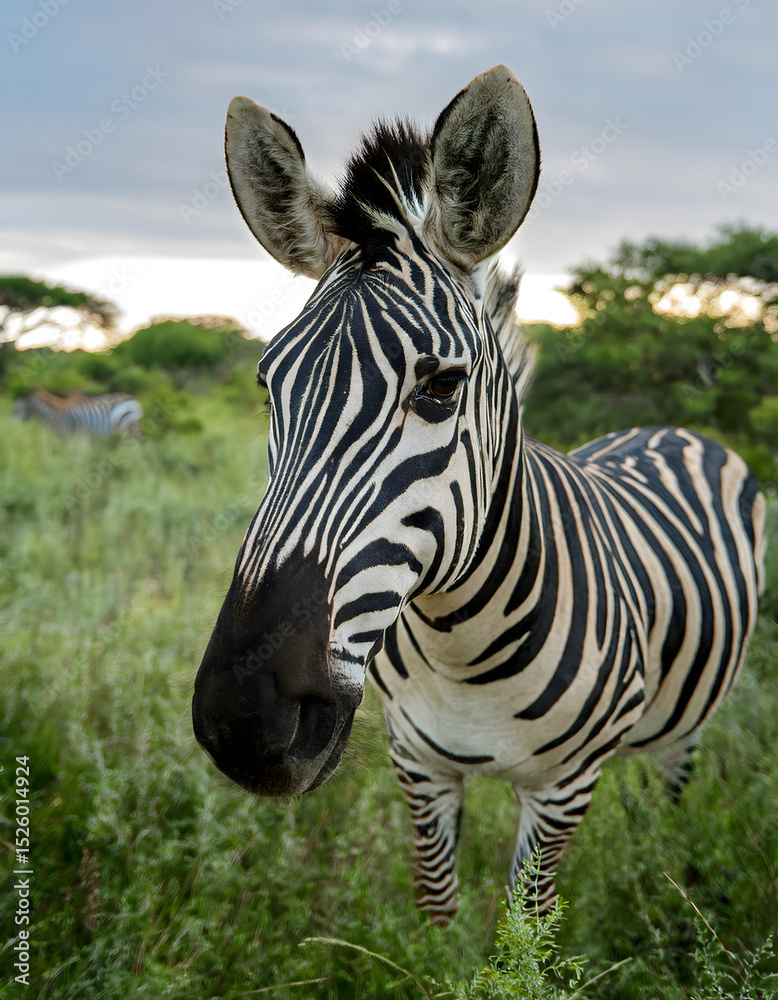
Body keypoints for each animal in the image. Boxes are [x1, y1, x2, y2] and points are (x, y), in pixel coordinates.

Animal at [13, 389, 143, 438]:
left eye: (16, 411)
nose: (12, 430)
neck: (54, 416)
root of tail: (134, 398)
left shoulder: (68, 435)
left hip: (125, 427)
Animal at [192, 66, 766, 925]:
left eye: (441, 387)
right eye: (268, 388)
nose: (244, 718)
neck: (461, 646)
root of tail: (667, 425)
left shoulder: (563, 790)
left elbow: (523, 934)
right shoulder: (419, 766)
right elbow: (436, 913)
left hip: (688, 724)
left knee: (670, 794)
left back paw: (664, 871)